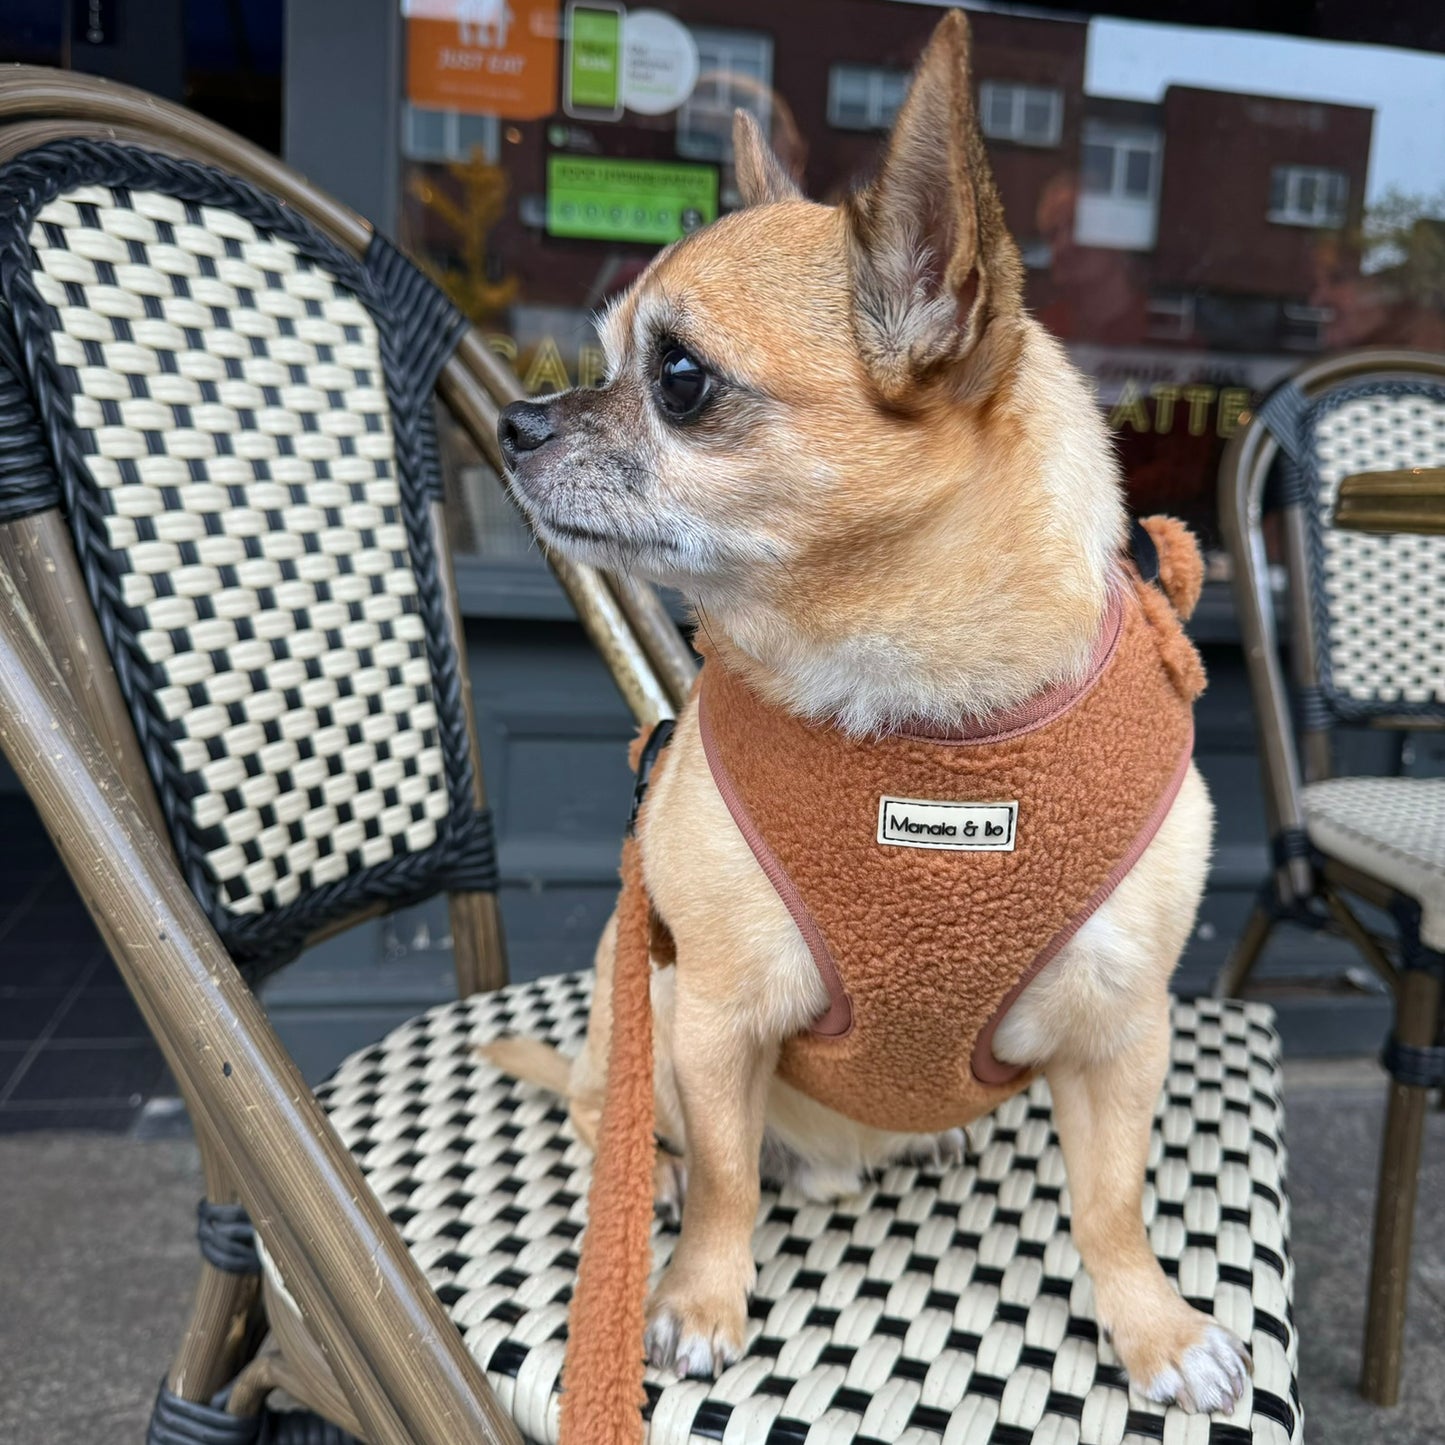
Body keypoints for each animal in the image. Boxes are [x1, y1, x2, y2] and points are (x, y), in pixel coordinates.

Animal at [491, 8, 1248, 1410]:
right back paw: (651, 1169)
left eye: (677, 378)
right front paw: (697, 1296)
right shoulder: (718, 1012)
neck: (918, 726)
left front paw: (1153, 1325)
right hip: (645, 1011)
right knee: (612, 1113)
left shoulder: (1119, 1034)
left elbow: (1111, 1204)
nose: (516, 419)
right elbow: (729, 1182)